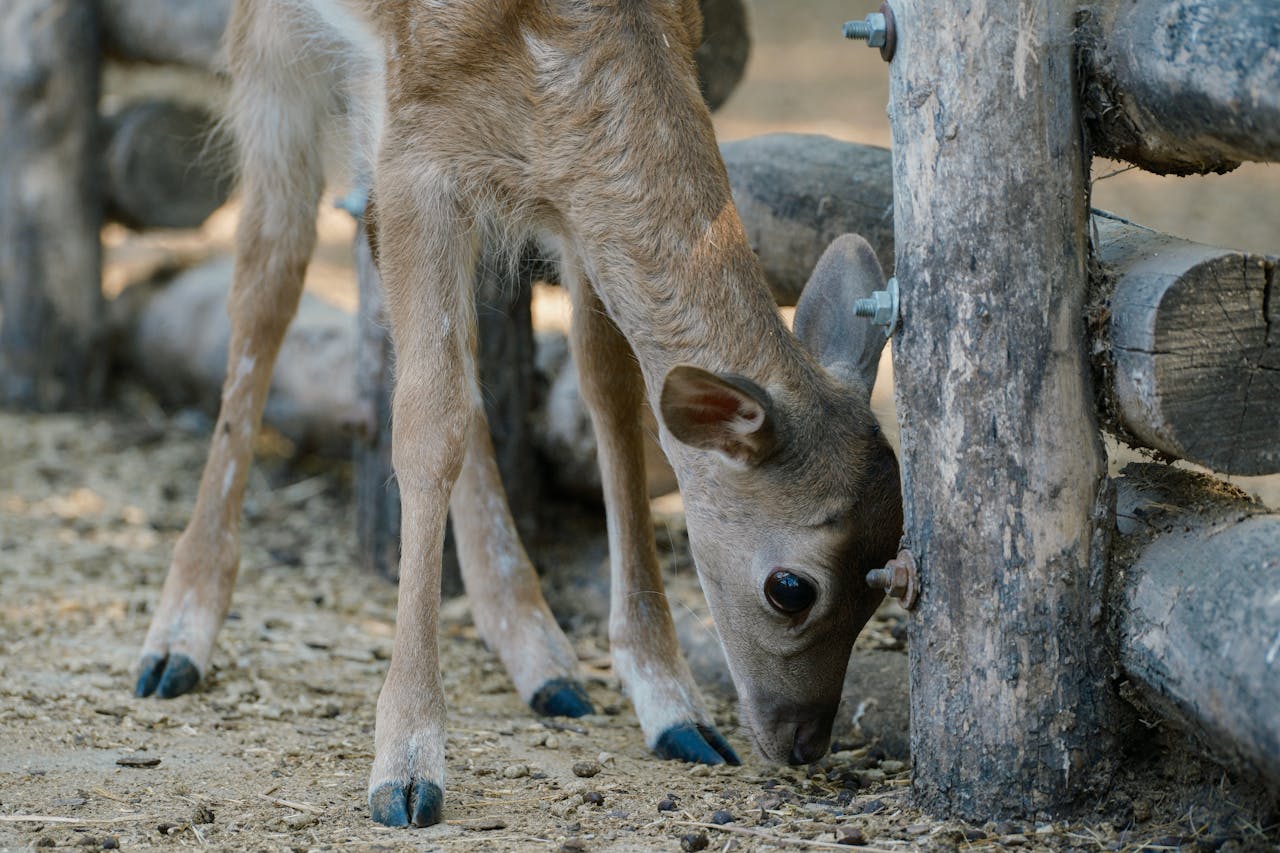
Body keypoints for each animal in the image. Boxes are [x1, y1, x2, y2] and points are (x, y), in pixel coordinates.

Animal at [132, 0, 903, 828]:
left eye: (883, 578)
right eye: (791, 588)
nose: (804, 741)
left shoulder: (562, 194)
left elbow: (610, 396)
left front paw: (674, 708)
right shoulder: (422, 157)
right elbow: (426, 428)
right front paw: (406, 767)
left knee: (394, 284)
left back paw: (541, 656)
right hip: (277, 52)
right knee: (268, 275)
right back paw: (174, 640)